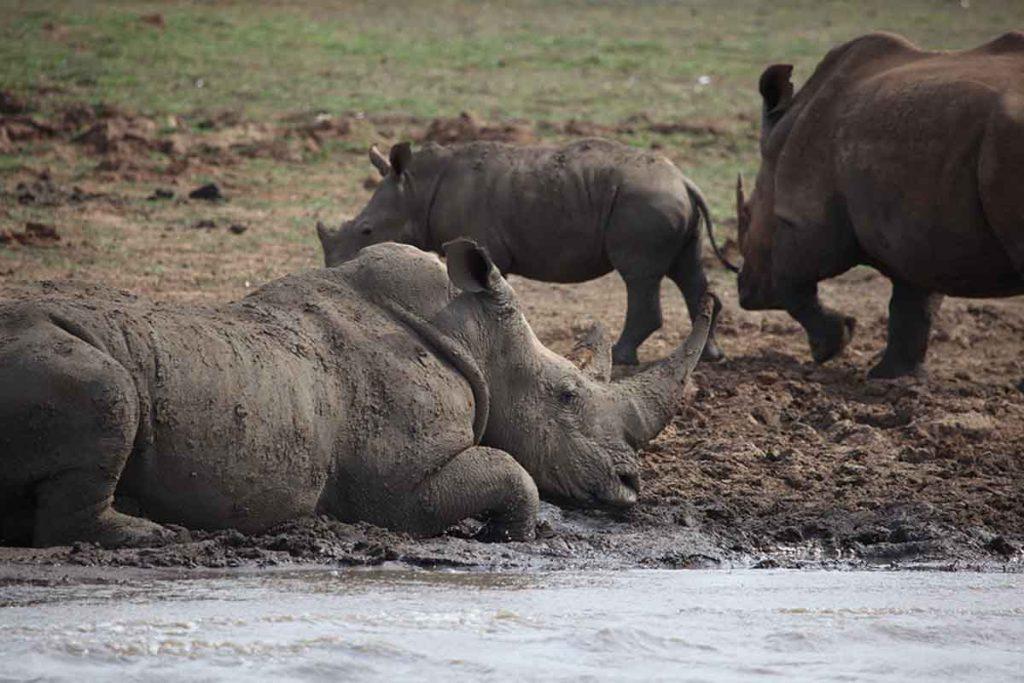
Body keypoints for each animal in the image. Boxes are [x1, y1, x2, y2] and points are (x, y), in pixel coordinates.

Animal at [0, 241, 715, 548]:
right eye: (567, 396)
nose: (631, 484)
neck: (478, 336)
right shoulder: (395, 489)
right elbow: (509, 470)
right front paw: (506, 535)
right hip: (59, 361)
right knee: (110, 396)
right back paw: (153, 537)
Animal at [316, 138, 727, 366]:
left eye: (367, 231)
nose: (334, 270)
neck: (419, 188)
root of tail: (684, 180)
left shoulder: (482, 246)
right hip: (663, 203)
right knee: (687, 270)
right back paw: (710, 356)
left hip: (644, 203)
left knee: (639, 276)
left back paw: (623, 355)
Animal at [725, 32, 1024, 378]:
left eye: (747, 215)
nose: (745, 293)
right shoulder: (921, 233)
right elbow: (912, 304)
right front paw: (891, 376)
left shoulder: (806, 219)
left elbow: (790, 283)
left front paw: (831, 347)